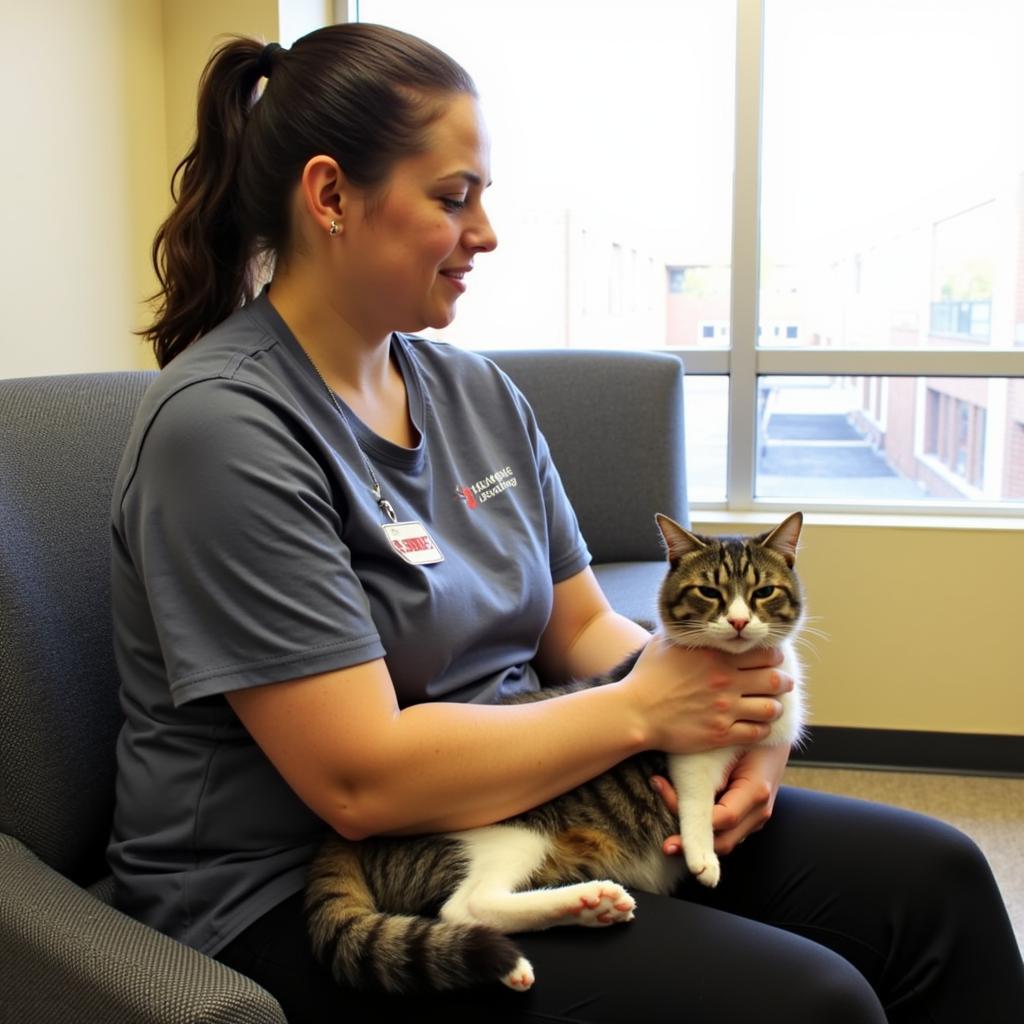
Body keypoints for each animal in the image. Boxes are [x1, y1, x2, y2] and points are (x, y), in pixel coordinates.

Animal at [307, 512, 802, 991]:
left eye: (762, 592)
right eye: (709, 592)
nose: (738, 622)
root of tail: (339, 839)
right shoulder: (690, 750)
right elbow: (697, 802)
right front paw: (704, 857)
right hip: (512, 834)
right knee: (467, 906)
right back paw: (581, 903)